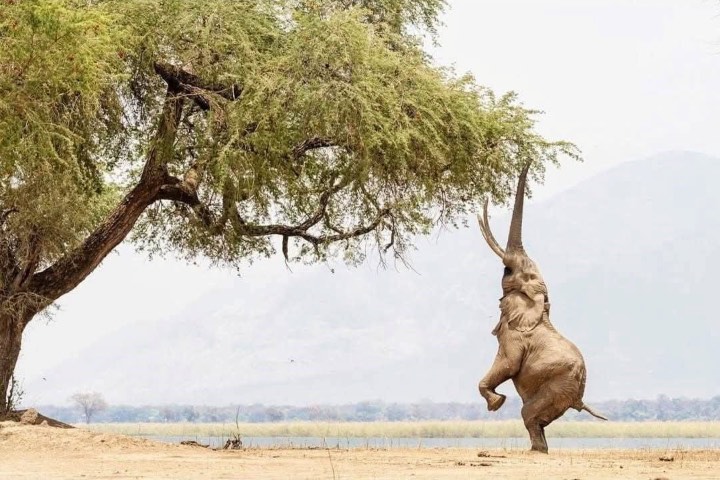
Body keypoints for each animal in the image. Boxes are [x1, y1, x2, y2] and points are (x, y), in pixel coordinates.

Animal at [476, 163, 606, 453]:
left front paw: (496, 403)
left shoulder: (515, 336)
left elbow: (508, 363)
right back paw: (540, 449)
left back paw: (536, 451)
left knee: (529, 414)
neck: (539, 302)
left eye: (509, 271)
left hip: (557, 386)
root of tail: (579, 397)